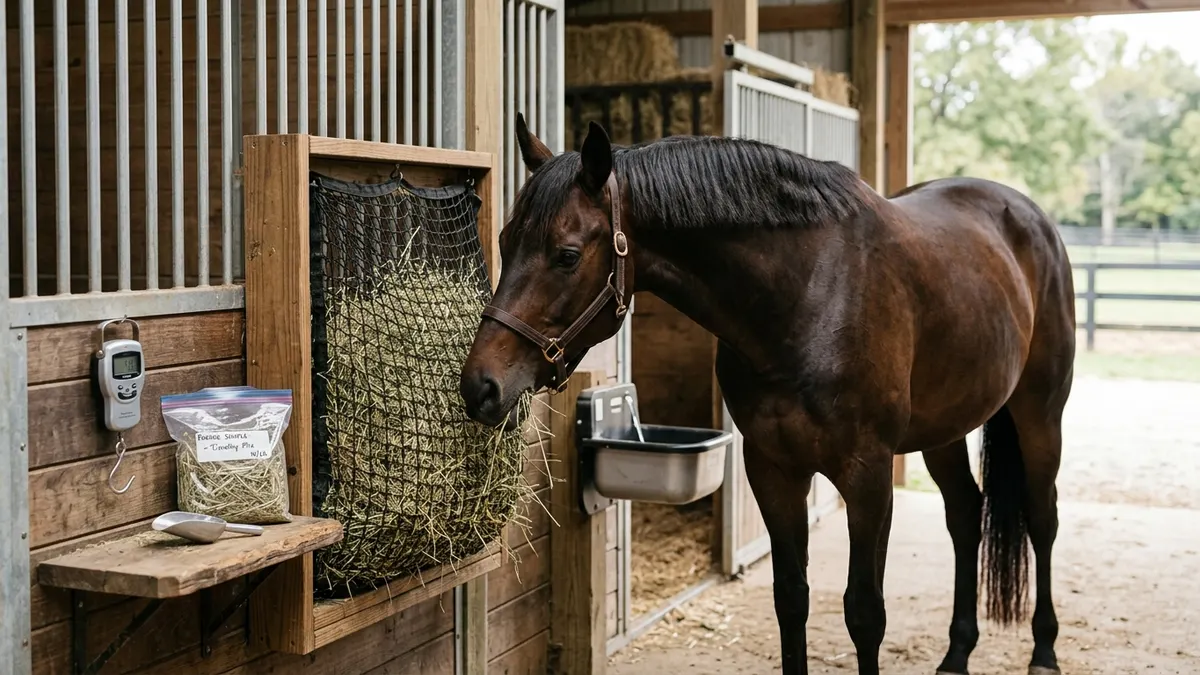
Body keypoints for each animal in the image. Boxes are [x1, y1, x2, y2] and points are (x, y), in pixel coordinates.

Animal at [459, 114, 1075, 675]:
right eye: (505, 240)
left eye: (566, 255)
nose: (480, 385)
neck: (807, 299)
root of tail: (1029, 216)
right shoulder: (773, 469)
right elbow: (791, 600)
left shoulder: (868, 477)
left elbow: (864, 613)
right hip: (942, 430)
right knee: (966, 515)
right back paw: (957, 653)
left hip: (1040, 413)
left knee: (1042, 517)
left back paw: (1044, 651)